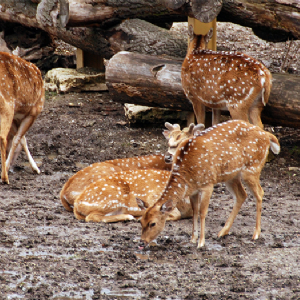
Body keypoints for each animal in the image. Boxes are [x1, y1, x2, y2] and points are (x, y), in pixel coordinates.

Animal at [0, 51, 44, 183]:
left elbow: (22, 139)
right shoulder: (34, 112)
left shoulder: (17, 117)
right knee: (2, 138)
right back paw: (5, 178)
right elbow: (17, 139)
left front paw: (35, 168)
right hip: (7, 105)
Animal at [137, 119, 280, 248]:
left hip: (252, 168)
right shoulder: (193, 190)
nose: (142, 242)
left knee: (260, 193)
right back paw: (223, 232)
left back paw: (256, 234)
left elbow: (202, 212)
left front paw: (201, 243)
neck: (187, 175)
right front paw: (193, 239)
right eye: (141, 221)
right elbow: (195, 211)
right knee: (242, 195)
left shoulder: (208, 184)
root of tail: (267, 135)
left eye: (153, 223)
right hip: (231, 176)